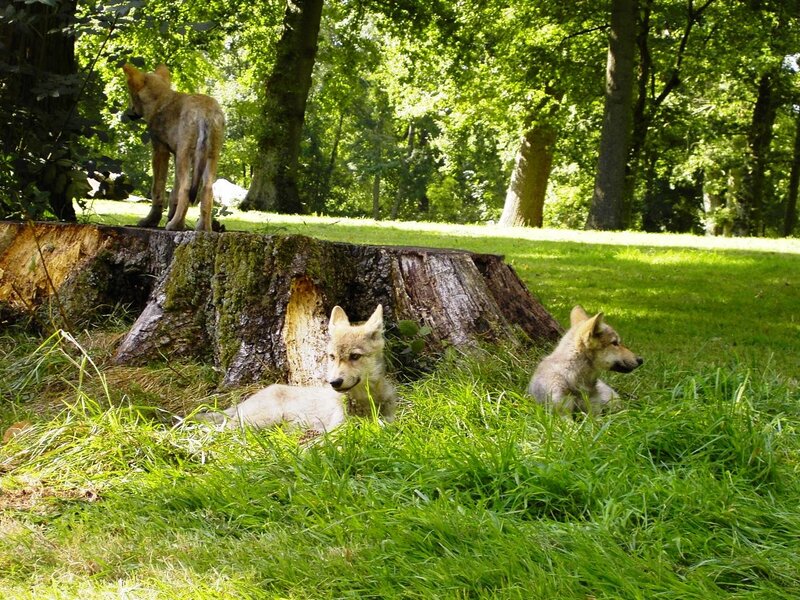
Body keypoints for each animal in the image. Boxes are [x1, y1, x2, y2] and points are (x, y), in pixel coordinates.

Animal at [122, 63, 225, 232]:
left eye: (131, 94)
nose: (129, 112)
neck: (160, 100)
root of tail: (206, 112)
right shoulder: (175, 155)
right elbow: (173, 194)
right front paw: (173, 218)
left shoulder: (160, 152)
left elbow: (158, 190)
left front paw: (151, 221)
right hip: (210, 158)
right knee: (207, 191)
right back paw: (203, 228)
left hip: (185, 156)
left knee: (186, 189)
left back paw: (174, 225)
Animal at [199, 304, 397, 432]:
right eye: (332, 357)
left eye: (354, 356)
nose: (334, 382)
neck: (364, 403)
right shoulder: (337, 428)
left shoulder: (390, 419)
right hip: (264, 419)